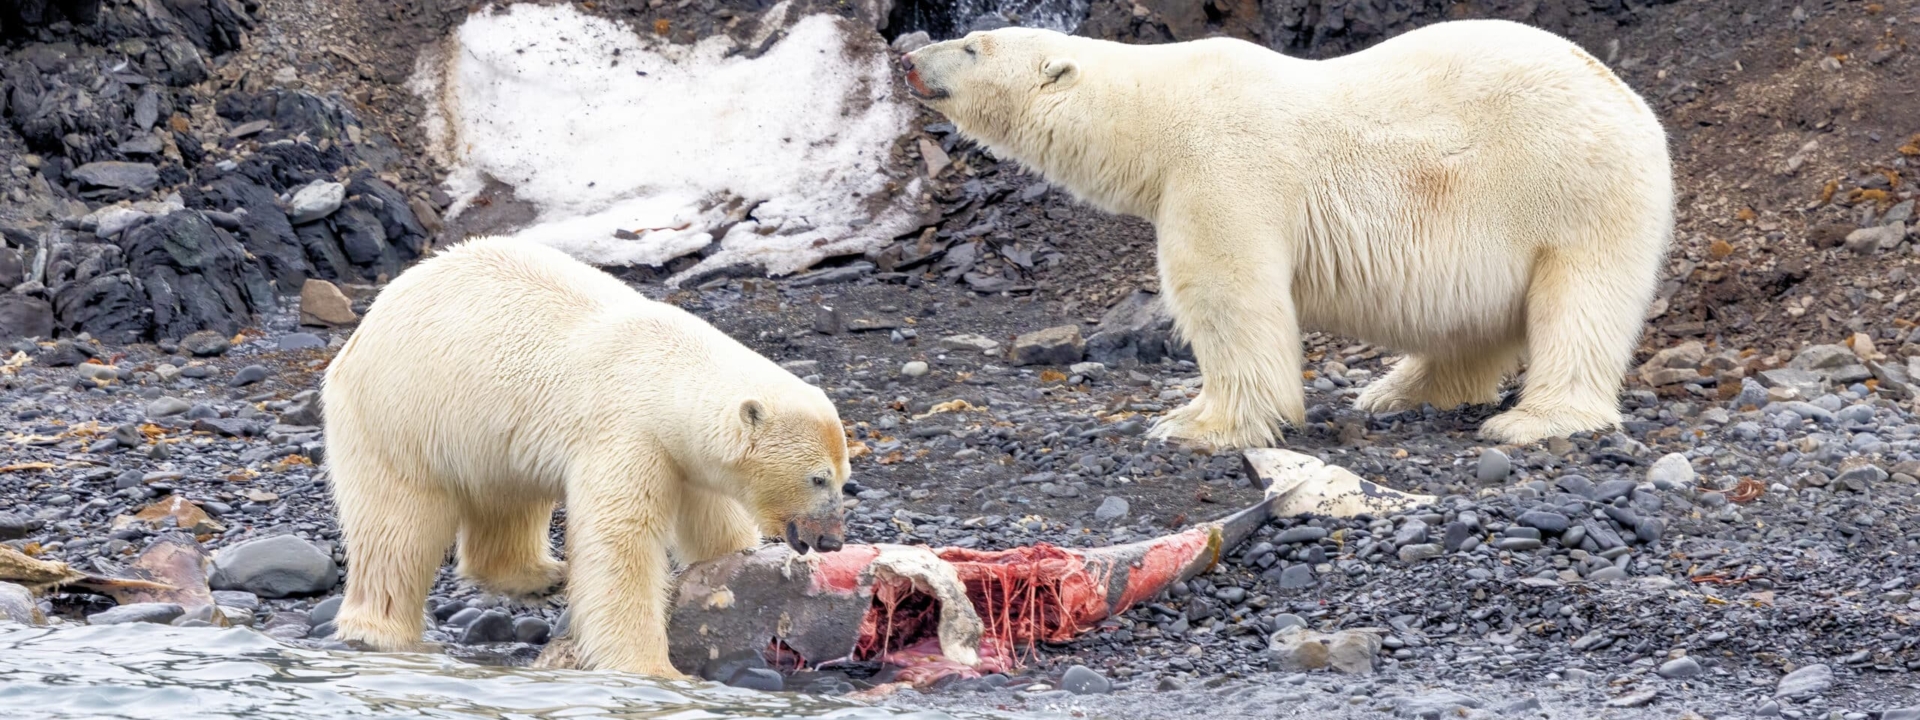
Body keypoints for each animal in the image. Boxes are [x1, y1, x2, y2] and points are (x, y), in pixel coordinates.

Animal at [320, 235, 851, 678]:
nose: (832, 540)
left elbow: (712, 522)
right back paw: (382, 632)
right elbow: (622, 544)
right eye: (818, 477)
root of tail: (366, 326)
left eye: (843, 476)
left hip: (486, 435)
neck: (664, 369)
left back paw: (543, 575)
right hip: (401, 415)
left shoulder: (682, 457)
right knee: (396, 529)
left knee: (508, 500)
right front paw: (653, 669)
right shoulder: (627, 434)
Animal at [901, 20, 1674, 449]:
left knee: (1580, 304)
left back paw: (1535, 420)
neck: (1158, 111)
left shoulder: (1222, 168)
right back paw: (1397, 390)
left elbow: (1227, 293)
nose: (908, 58)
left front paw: (1197, 424)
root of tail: (1636, 104)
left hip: (1570, 192)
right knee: (1476, 322)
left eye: (970, 46)